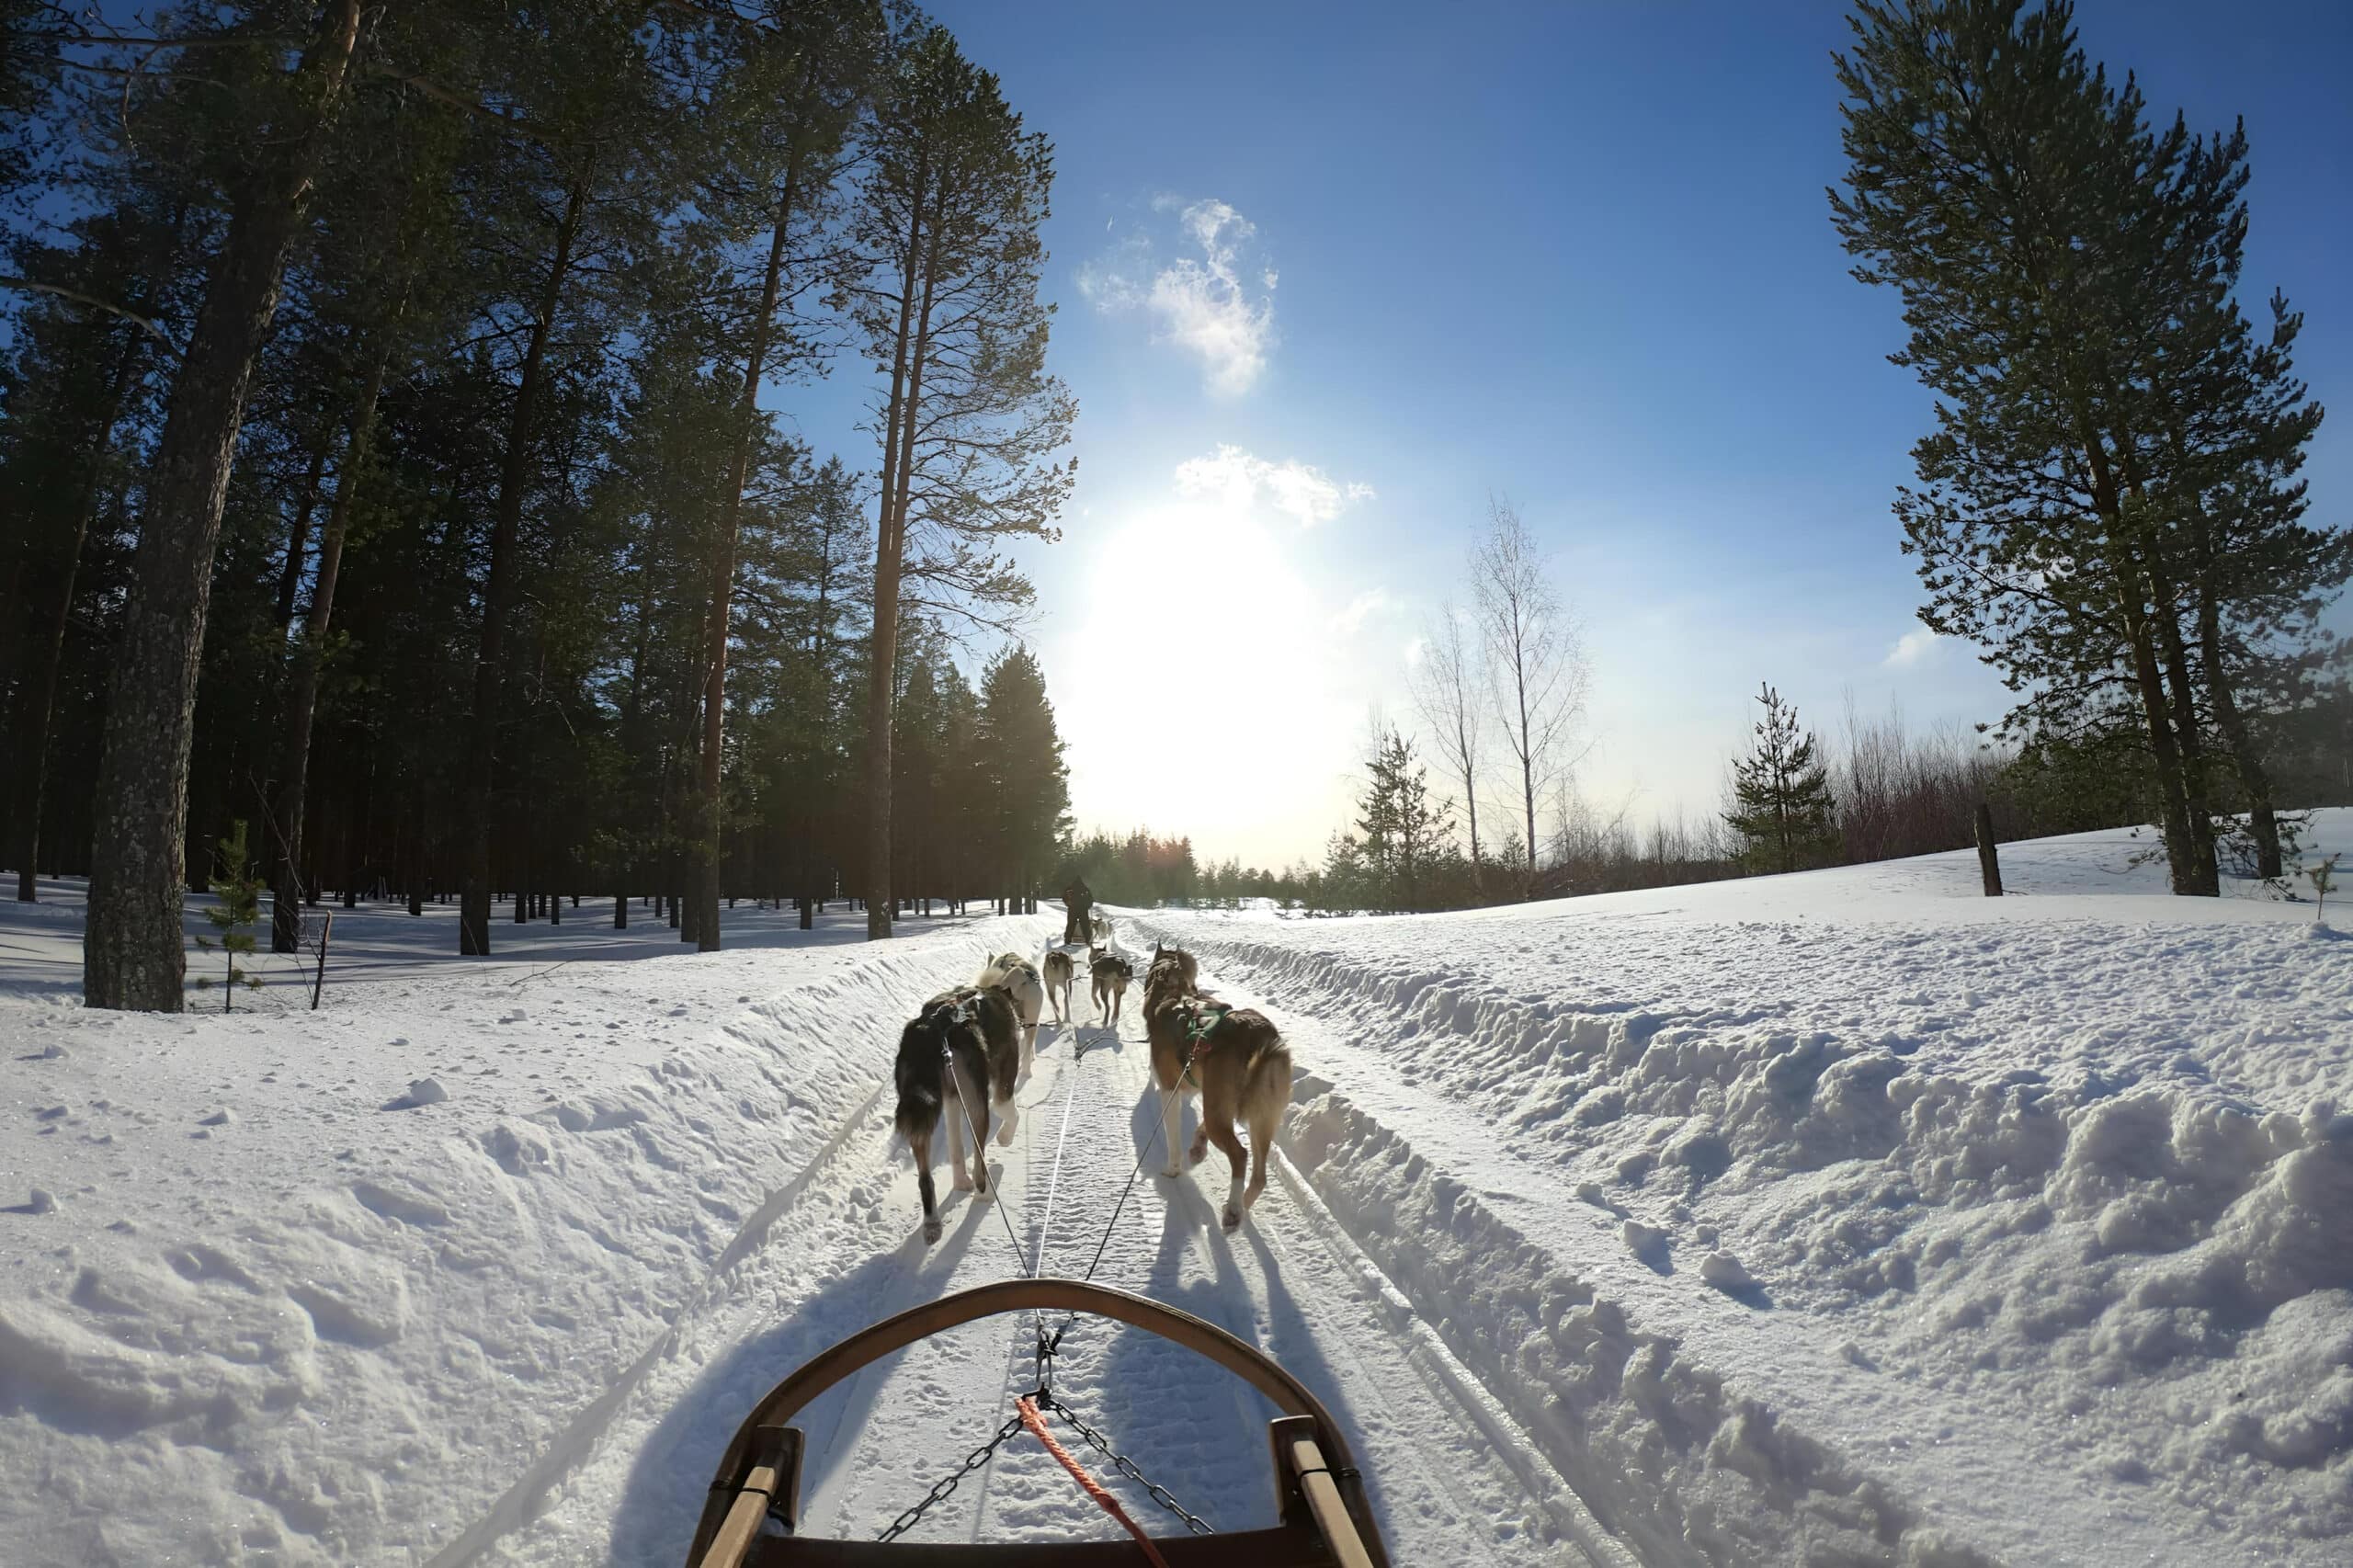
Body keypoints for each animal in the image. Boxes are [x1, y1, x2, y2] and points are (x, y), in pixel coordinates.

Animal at [889, 988, 1021, 1233]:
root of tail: (931, 1031)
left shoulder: (951, 1098)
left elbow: (955, 1146)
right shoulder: (1004, 1080)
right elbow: (1007, 1110)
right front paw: (1005, 1137)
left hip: (922, 1109)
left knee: (925, 1177)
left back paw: (933, 1222)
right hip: (976, 1101)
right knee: (979, 1164)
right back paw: (985, 1193)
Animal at [1139, 946, 1289, 1224]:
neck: (1173, 992)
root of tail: (1259, 1035)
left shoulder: (1170, 1091)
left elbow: (1173, 1138)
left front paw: (1173, 1169)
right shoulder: (1206, 1094)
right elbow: (1201, 1127)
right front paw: (1198, 1146)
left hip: (1228, 1113)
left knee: (1240, 1155)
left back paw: (1233, 1209)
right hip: (1260, 1118)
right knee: (1259, 1176)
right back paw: (1240, 1207)